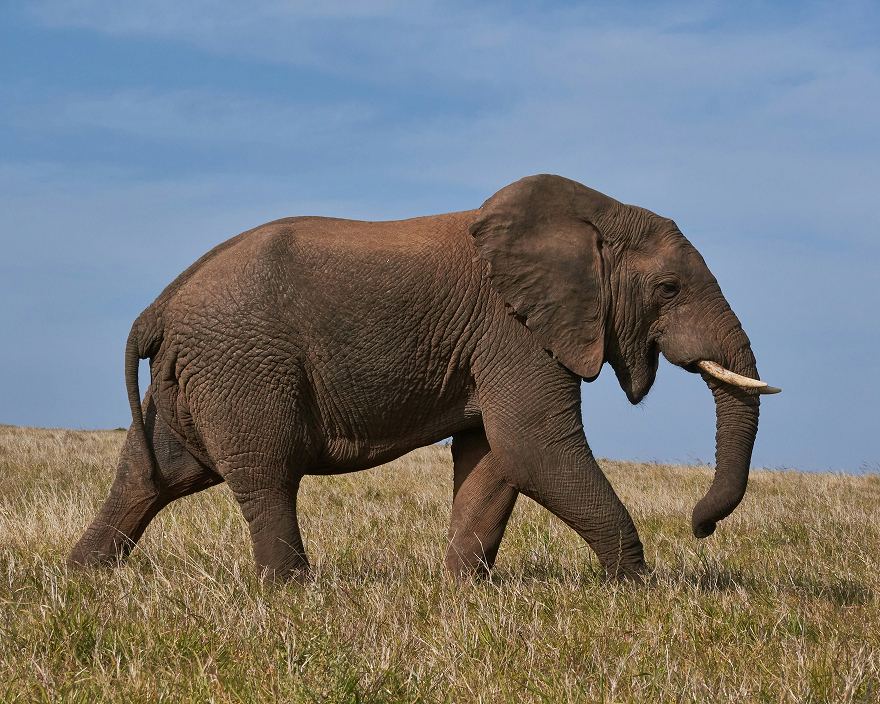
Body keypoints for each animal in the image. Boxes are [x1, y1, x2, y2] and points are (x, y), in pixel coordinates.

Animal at [69, 174, 779, 582]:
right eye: (668, 288)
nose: (700, 527)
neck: (592, 216)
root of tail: (162, 304)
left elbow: (494, 457)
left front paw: (462, 593)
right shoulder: (513, 330)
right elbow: (534, 446)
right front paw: (633, 589)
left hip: (195, 375)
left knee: (153, 473)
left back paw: (83, 580)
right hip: (241, 364)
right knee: (266, 474)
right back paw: (294, 594)